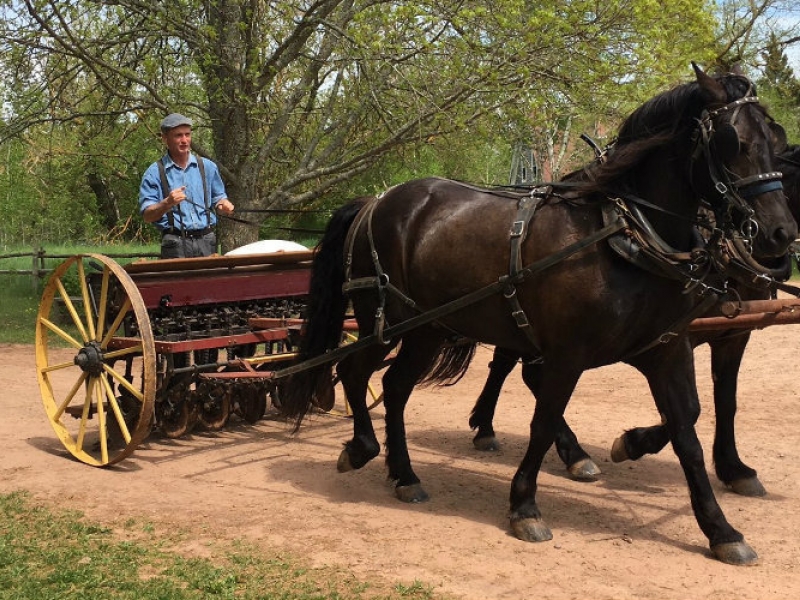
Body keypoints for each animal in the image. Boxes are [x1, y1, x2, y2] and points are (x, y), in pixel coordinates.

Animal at [468, 142, 800, 492]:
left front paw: (734, 469)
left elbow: (724, 401)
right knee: (518, 369)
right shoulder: (677, 337)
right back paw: (555, 448)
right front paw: (631, 444)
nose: (781, 234)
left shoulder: (733, 335)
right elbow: (690, 410)